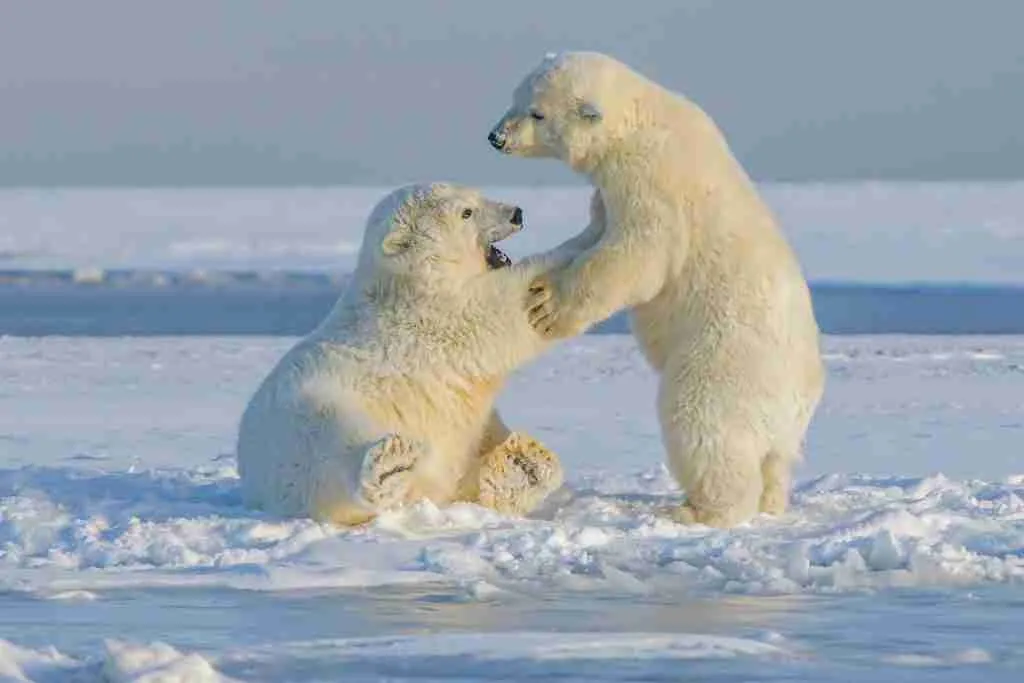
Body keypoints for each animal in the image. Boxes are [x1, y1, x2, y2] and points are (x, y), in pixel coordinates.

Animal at [236, 183, 564, 526]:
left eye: (477, 194)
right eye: (466, 212)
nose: (516, 213)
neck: (406, 280)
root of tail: (253, 479)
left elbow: (474, 436)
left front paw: (521, 461)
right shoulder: (432, 317)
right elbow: (496, 311)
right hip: (309, 414)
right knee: (334, 444)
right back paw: (389, 466)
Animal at [487, 51, 825, 528]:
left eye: (537, 113)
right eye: (515, 98)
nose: (496, 137)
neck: (642, 118)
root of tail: (800, 398)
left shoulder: (652, 182)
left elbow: (635, 254)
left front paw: (547, 306)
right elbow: (597, 231)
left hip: (723, 364)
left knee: (702, 427)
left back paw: (695, 510)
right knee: (775, 461)